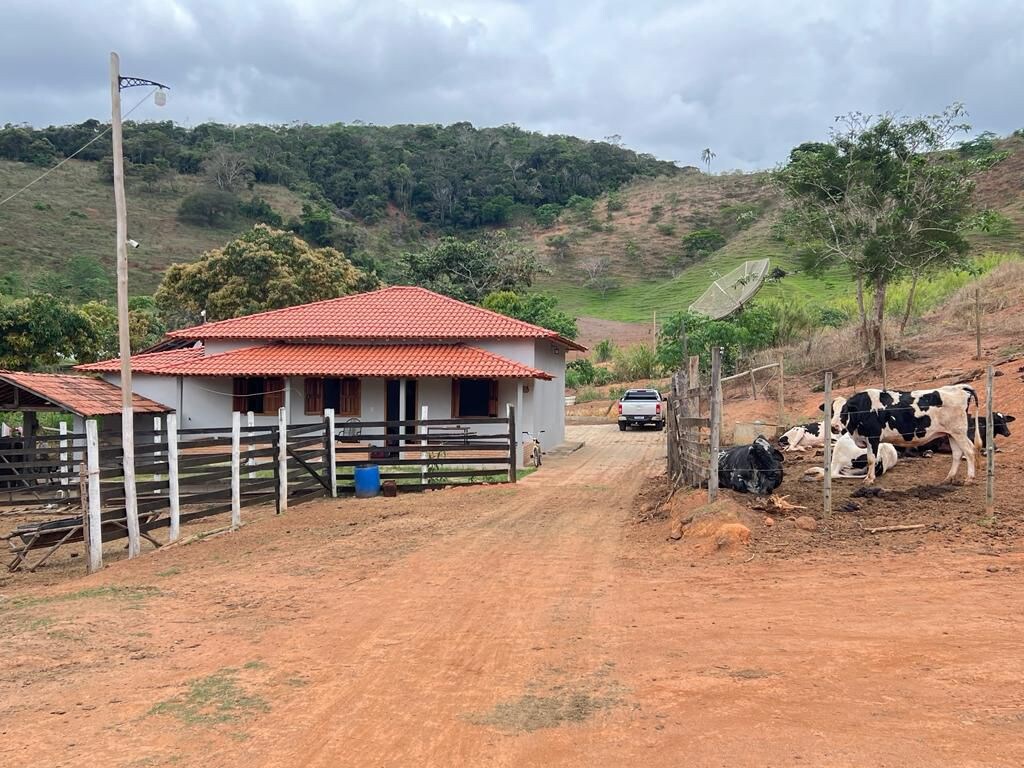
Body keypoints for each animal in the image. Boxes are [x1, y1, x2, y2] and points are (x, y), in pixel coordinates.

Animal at [823, 387, 983, 483]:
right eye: (831, 411)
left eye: (844, 411)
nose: (834, 427)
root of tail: (959, 388)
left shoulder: (873, 437)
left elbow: (871, 459)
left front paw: (869, 479)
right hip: (951, 434)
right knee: (957, 454)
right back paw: (949, 477)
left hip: (959, 432)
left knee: (969, 451)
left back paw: (969, 478)